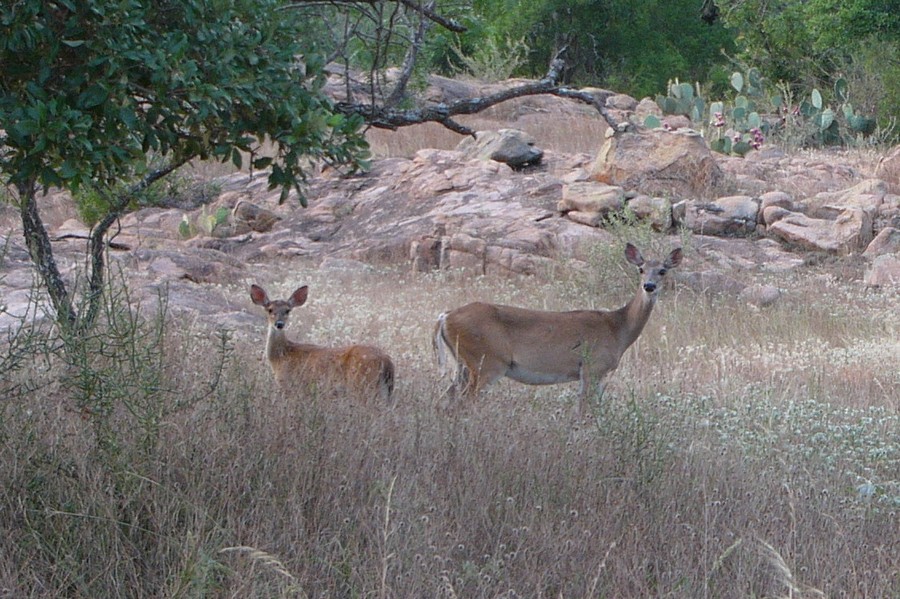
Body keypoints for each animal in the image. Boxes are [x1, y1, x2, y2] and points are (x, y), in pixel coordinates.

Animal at [251, 284, 396, 404]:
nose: (279, 324)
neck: (282, 355)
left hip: (362, 384)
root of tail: (386, 361)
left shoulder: (288, 384)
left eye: (287, 310)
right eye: (270, 309)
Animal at [434, 244, 684, 412]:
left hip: (463, 364)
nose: (649, 286)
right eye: (640, 269)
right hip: (487, 362)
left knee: (446, 399)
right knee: (465, 401)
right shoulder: (592, 367)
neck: (618, 329)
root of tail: (445, 316)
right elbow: (585, 411)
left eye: (663, 271)